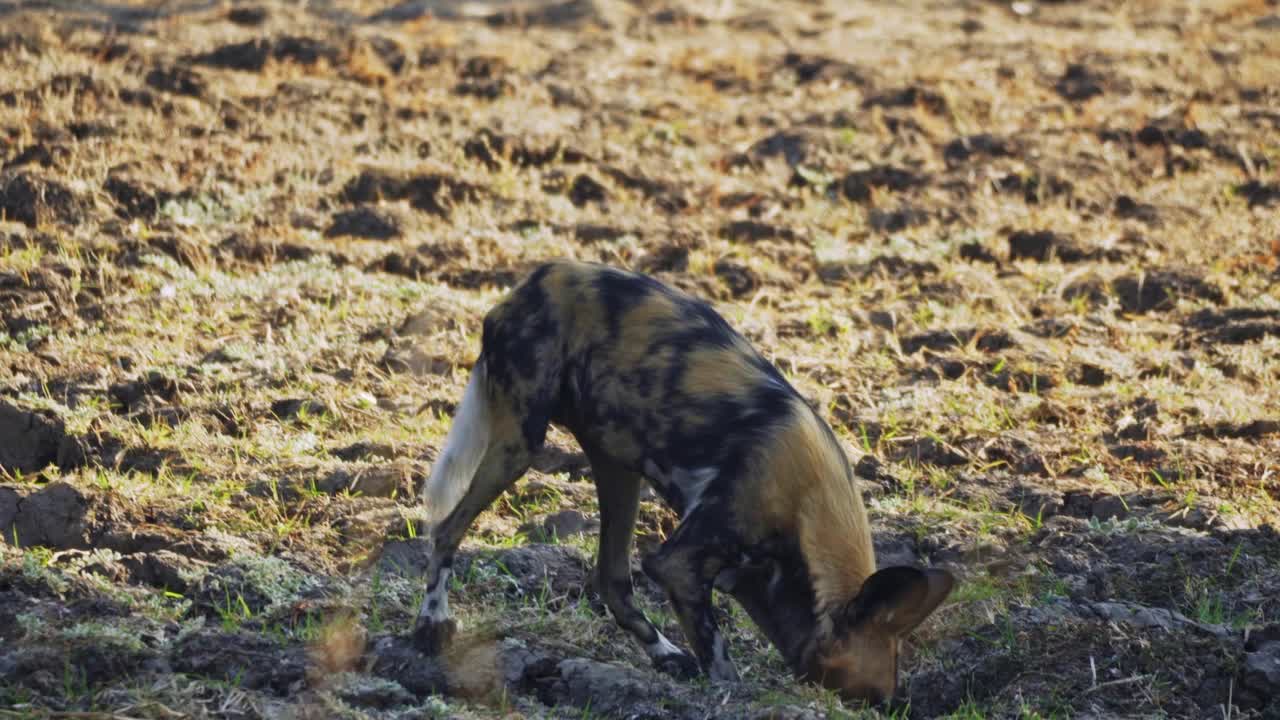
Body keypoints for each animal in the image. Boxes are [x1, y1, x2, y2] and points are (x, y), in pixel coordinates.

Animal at [414, 256, 957, 702]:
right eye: (869, 701)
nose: (888, 708)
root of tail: (536, 278)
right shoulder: (679, 564)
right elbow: (719, 658)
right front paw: (734, 696)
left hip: (618, 469)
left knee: (611, 580)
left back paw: (666, 654)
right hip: (520, 446)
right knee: (445, 529)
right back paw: (432, 624)